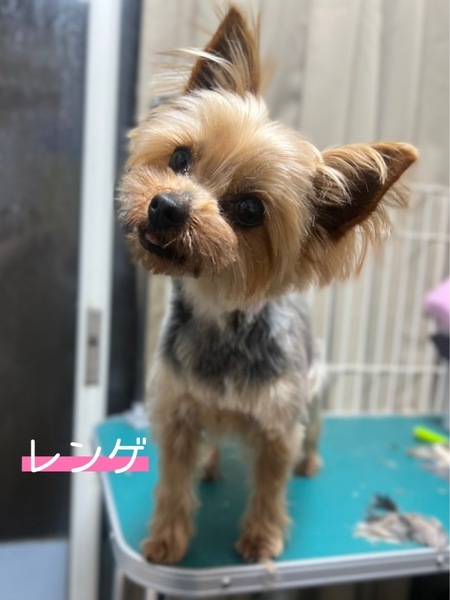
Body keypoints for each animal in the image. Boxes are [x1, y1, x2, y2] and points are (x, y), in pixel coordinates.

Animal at [119, 6, 418, 564]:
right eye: (180, 159)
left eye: (251, 210)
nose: (166, 207)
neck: (218, 313)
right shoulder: (177, 414)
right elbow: (173, 483)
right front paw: (167, 539)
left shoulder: (279, 426)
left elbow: (270, 487)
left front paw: (260, 539)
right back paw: (211, 463)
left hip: (316, 392)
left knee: (313, 432)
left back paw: (310, 462)